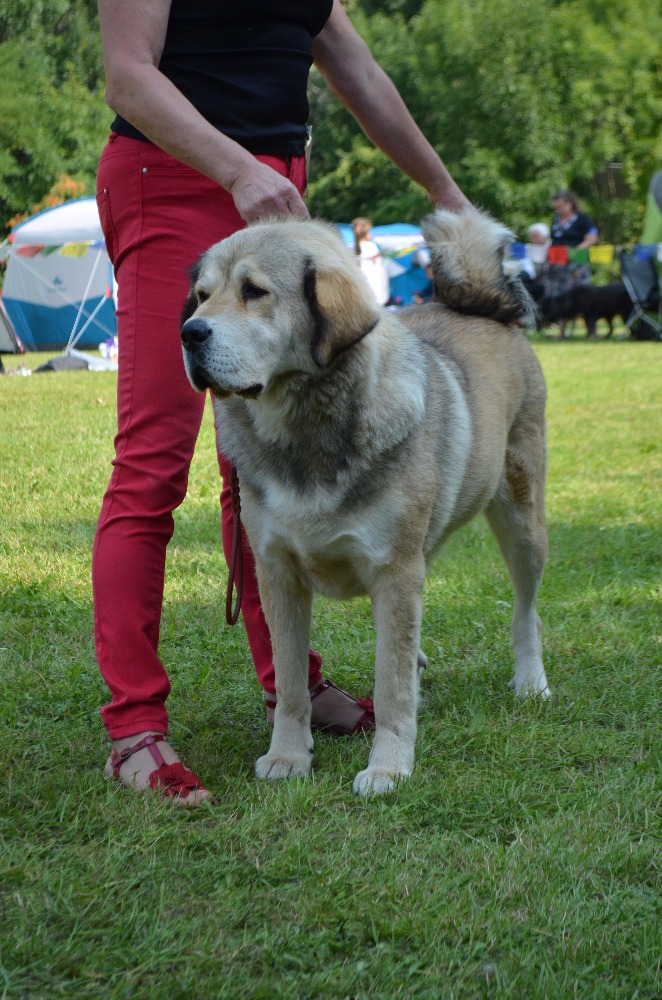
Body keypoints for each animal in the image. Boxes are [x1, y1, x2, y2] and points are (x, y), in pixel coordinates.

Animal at [182, 211, 548, 796]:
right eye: (201, 296)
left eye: (253, 291)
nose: (189, 333)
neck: (304, 431)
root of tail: (486, 307)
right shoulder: (276, 573)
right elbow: (290, 682)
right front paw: (288, 756)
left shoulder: (394, 573)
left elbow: (391, 685)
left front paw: (388, 767)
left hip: (523, 524)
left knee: (526, 612)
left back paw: (531, 681)